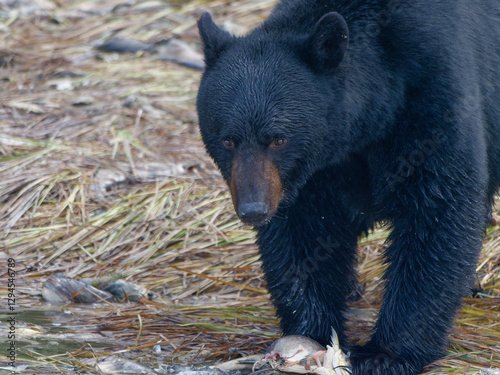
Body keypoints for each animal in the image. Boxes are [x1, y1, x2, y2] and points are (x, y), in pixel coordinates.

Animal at [196, 0, 500, 374]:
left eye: (279, 139)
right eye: (228, 139)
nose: (254, 209)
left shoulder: (434, 97)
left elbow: (438, 212)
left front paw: (385, 354)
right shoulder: (314, 171)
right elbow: (303, 234)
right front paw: (310, 331)